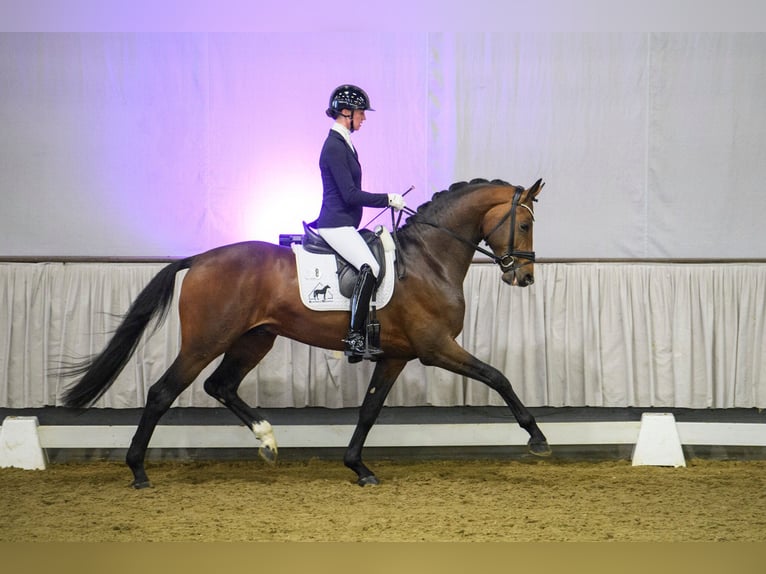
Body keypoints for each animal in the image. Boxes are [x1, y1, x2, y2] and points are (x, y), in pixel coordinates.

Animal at [63, 178, 548, 488]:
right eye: (524, 224)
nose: (524, 277)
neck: (428, 260)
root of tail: (200, 259)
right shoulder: (436, 348)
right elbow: (498, 376)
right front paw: (538, 439)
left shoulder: (396, 355)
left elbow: (369, 411)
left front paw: (358, 468)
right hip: (206, 341)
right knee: (163, 392)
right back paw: (138, 472)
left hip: (255, 339)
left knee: (220, 385)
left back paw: (267, 440)